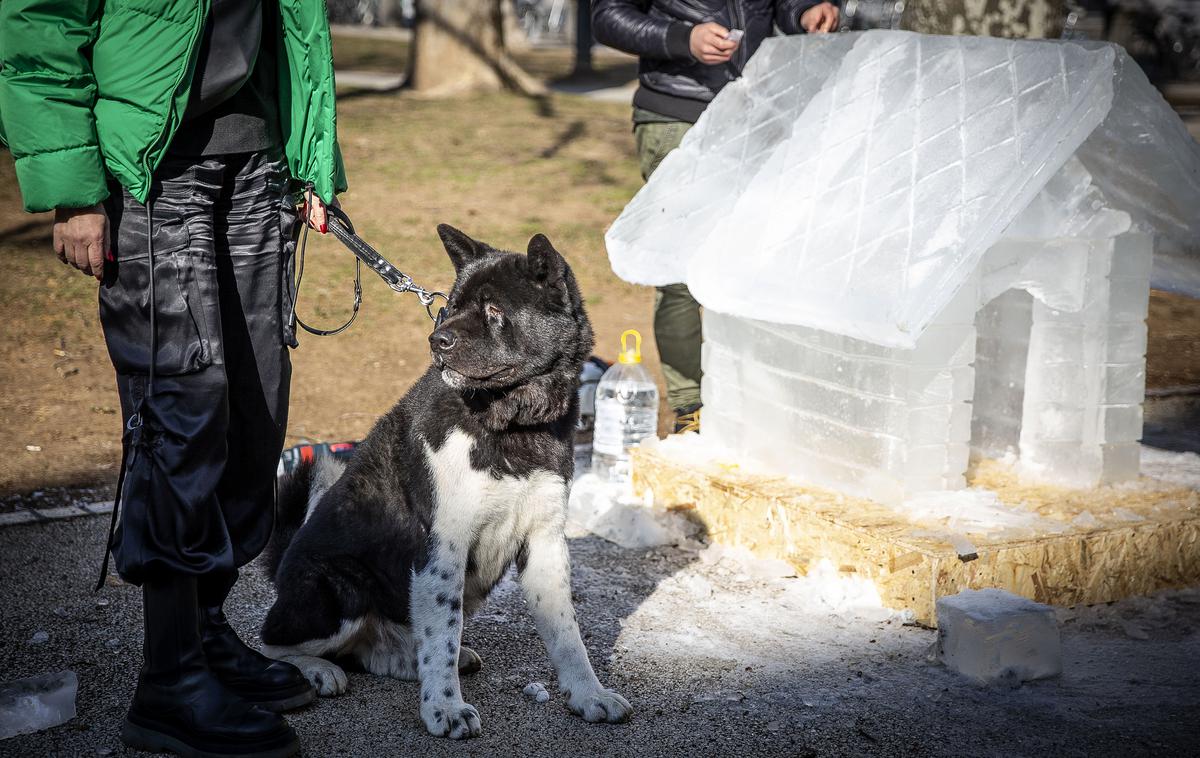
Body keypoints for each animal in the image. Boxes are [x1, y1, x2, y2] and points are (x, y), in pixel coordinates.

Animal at [258, 225, 633, 738]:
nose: (438, 340)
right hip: (339, 590)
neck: (511, 424)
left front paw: (588, 695)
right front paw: (445, 709)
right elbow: (442, 640)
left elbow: (566, 633)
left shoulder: (545, 541)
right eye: (451, 306)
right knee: (271, 642)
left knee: (375, 651)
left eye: (494, 310)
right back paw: (317, 671)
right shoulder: (443, 548)